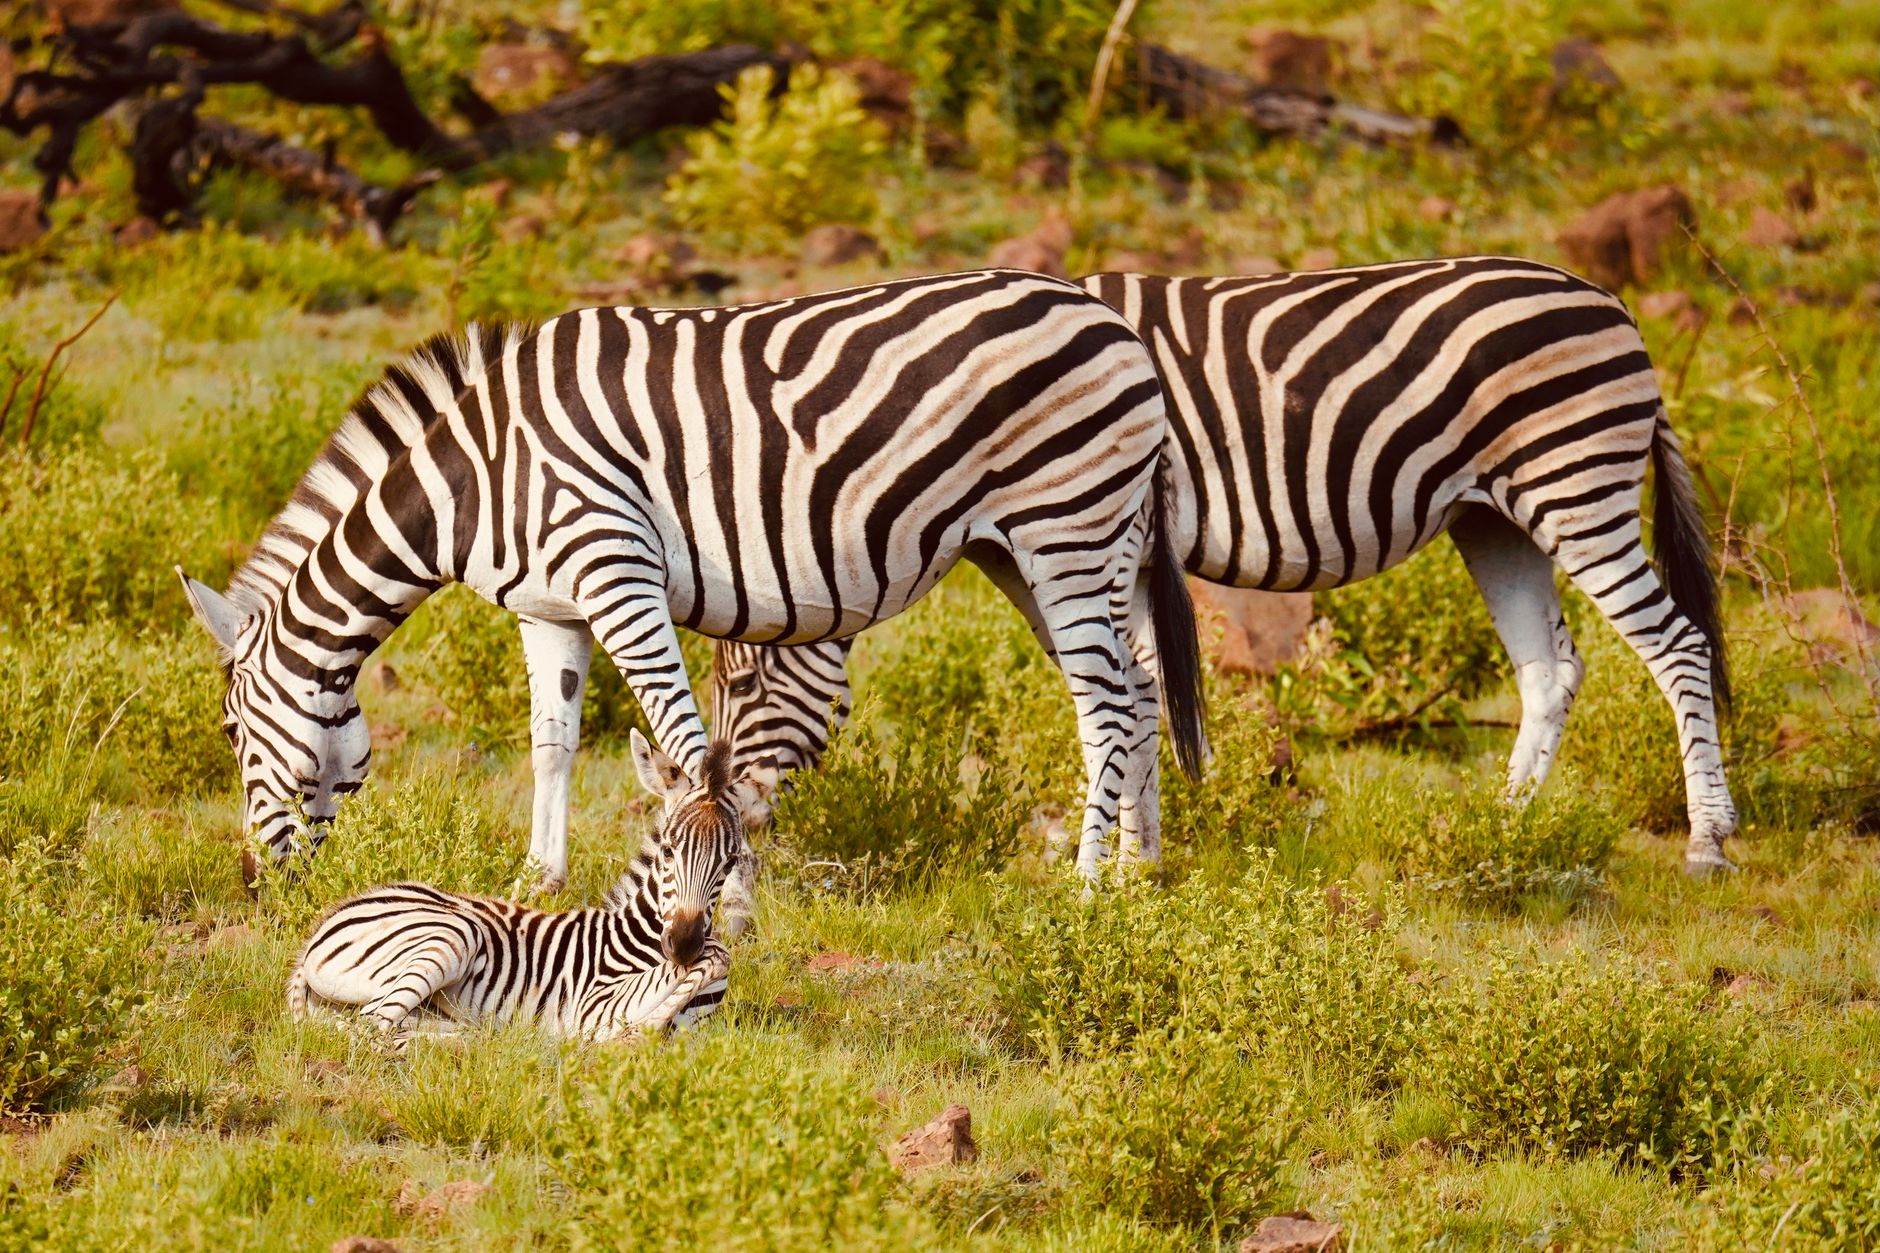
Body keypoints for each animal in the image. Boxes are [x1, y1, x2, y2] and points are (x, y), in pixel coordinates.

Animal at [177, 269, 1206, 916]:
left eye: (228, 732)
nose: (258, 884)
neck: (476, 476)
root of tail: (1119, 329)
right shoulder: (550, 606)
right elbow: (552, 743)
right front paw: (536, 881)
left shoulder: (614, 565)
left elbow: (680, 740)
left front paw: (721, 886)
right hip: (1037, 548)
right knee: (1139, 688)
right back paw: (1138, 876)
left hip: (1062, 527)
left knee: (1104, 706)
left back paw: (1082, 888)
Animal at [286, 733, 773, 1041]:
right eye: (669, 851)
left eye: (729, 862)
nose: (683, 945)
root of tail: (330, 919)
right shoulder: (592, 1003)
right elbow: (718, 955)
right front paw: (636, 1032)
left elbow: (715, 962)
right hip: (452, 934)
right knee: (371, 1027)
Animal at [705, 258, 1739, 873]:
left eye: (746, 681)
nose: (734, 816)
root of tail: (1610, 302)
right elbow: (1145, 688)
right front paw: (1144, 859)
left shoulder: (1116, 538)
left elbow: (1132, 689)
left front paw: (1124, 860)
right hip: (1496, 518)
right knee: (1549, 665)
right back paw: (1503, 827)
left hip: (1578, 486)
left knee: (1678, 645)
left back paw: (1707, 838)